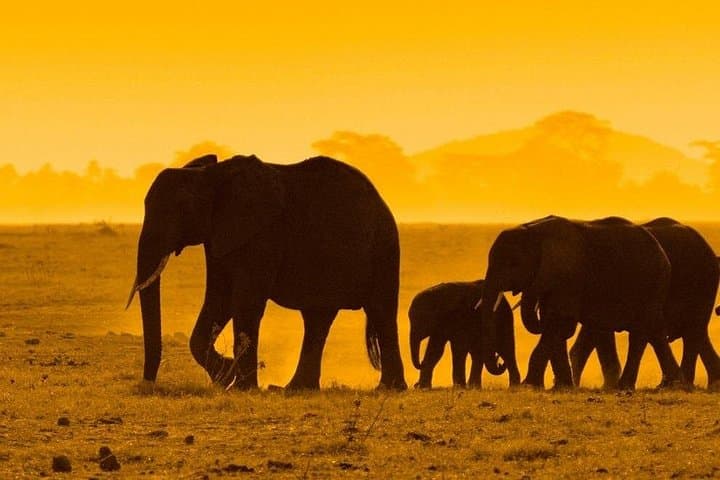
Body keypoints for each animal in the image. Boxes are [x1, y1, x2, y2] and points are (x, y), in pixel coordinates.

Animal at [126, 154, 407, 390]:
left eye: (181, 209)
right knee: (317, 318)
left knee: (380, 311)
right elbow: (220, 299)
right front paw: (225, 377)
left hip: (383, 249)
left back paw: (388, 389)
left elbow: (245, 302)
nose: (148, 384)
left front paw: (240, 387)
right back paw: (294, 389)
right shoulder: (221, 234)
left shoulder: (262, 235)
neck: (211, 175)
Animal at [476, 215, 683, 390]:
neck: (533, 230)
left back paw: (626, 387)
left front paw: (530, 386)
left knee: (640, 332)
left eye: (513, 264)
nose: (499, 361)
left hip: (652, 283)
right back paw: (672, 384)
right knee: (654, 331)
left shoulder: (568, 276)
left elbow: (561, 321)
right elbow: (554, 324)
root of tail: (662, 252)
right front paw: (560, 388)